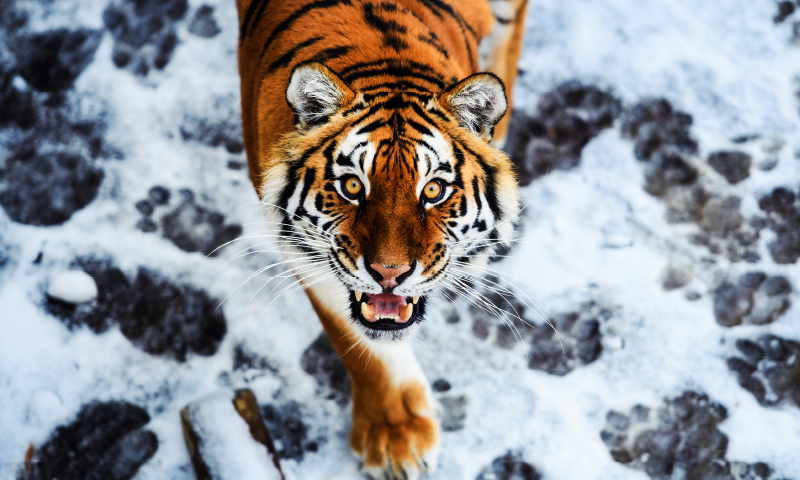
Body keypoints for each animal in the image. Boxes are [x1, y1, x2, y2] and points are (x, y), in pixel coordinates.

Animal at [235, 0, 527, 477]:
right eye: (353, 186)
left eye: (433, 190)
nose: (390, 273)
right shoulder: (305, 253)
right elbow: (359, 344)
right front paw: (397, 439)